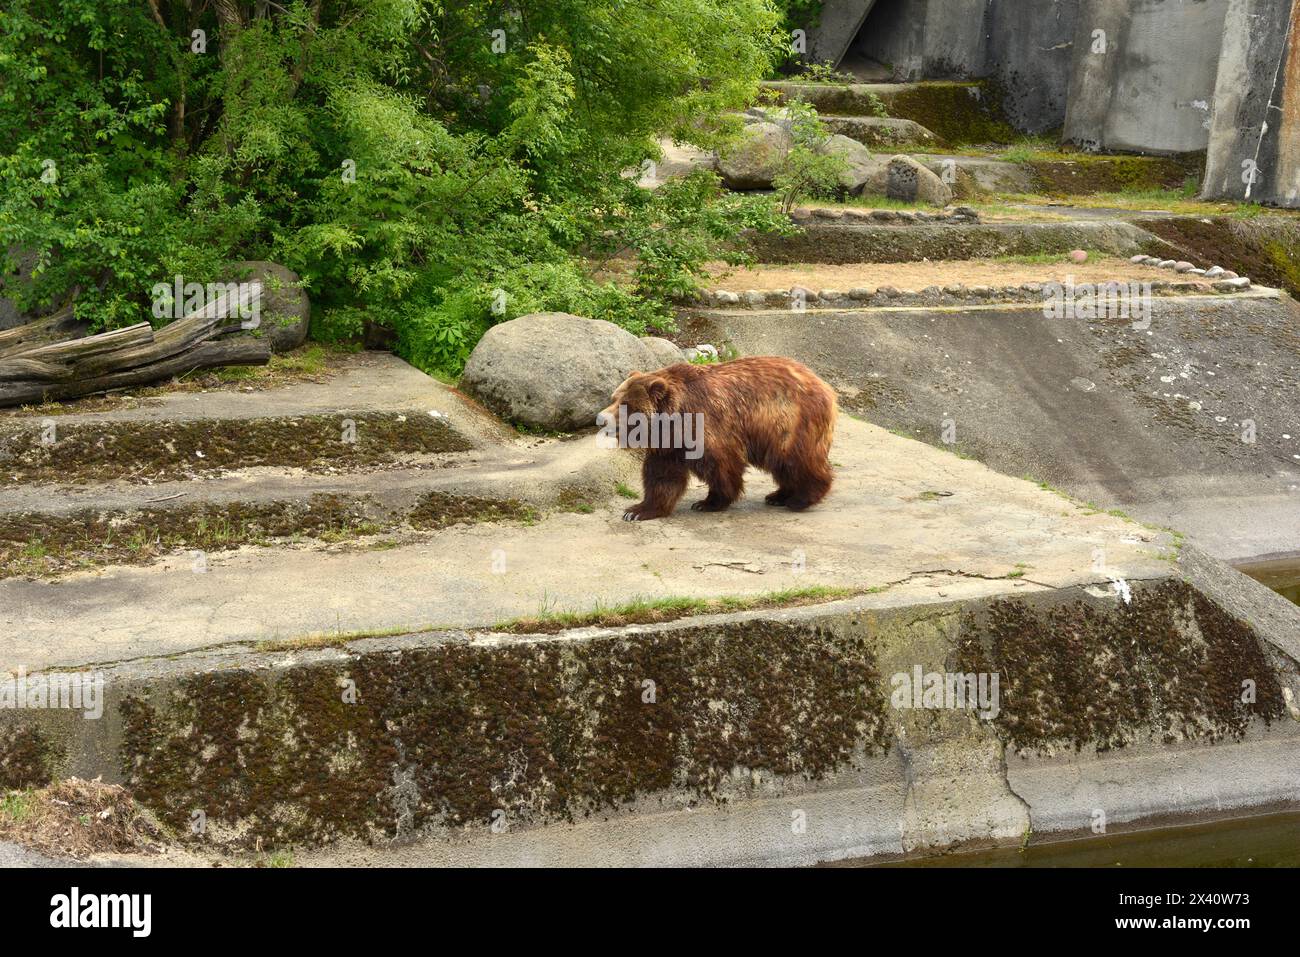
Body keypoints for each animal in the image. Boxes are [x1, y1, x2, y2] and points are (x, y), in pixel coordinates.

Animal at [595, 356, 837, 522]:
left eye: (626, 404)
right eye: (614, 398)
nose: (601, 419)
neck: (675, 418)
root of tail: (824, 385)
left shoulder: (708, 426)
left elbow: (721, 465)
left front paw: (707, 502)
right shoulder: (670, 443)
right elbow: (662, 475)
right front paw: (637, 510)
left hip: (786, 419)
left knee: (794, 459)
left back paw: (801, 498)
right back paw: (778, 495)